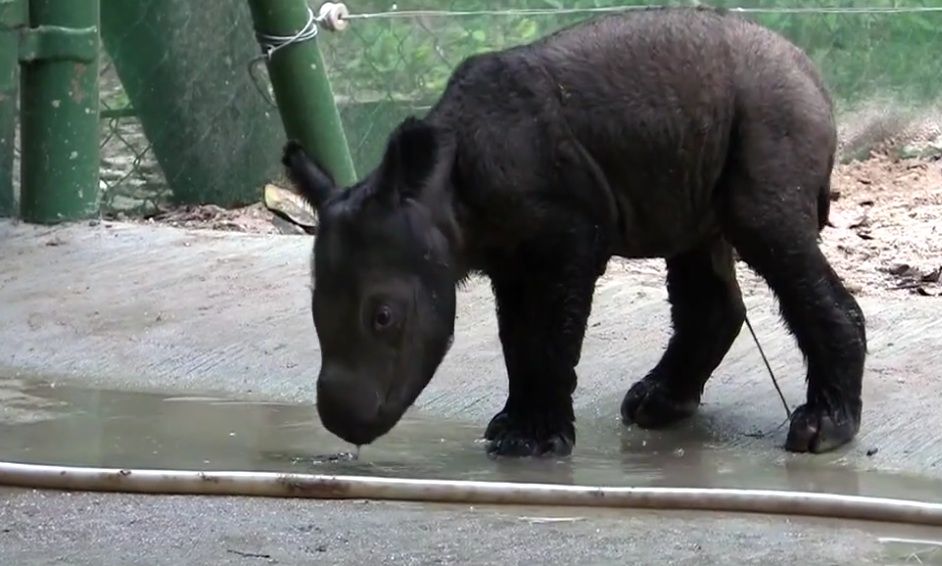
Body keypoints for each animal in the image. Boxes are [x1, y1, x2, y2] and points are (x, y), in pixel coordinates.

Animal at [282, 7, 872, 462]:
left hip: (772, 112)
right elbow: (517, 339)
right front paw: (514, 428)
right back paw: (657, 405)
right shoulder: (506, 255)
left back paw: (822, 430)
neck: (439, 191)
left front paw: (534, 443)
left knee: (765, 229)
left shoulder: (567, 236)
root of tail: (814, 75)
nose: (342, 421)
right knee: (697, 244)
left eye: (383, 317)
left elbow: (547, 335)